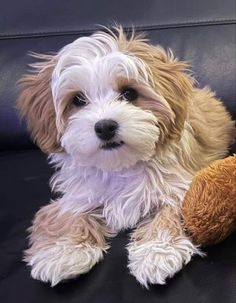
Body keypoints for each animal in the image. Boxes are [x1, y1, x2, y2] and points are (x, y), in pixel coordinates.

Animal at [17, 26, 235, 288]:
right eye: (78, 100)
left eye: (129, 93)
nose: (105, 126)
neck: (120, 166)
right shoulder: (77, 195)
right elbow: (65, 216)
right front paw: (62, 253)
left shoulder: (178, 186)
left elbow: (172, 212)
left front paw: (157, 254)